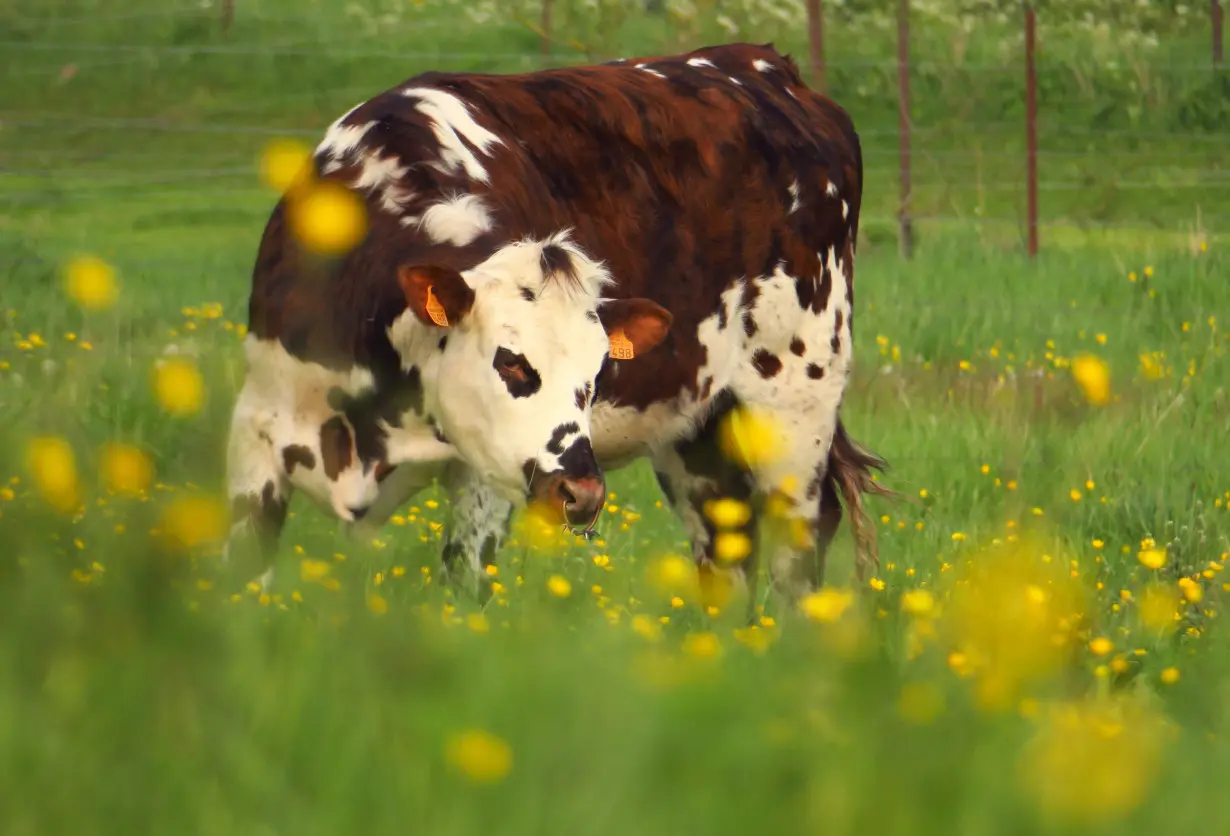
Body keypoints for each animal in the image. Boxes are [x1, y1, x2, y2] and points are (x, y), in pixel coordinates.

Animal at [226, 42, 890, 607]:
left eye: (597, 376)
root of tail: (767, 68)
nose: (582, 492)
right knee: (726, 548)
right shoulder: (257, 434)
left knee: (800, 547)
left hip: (796, 405)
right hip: (698, 432)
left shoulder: (481, 479)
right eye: (510, 362)